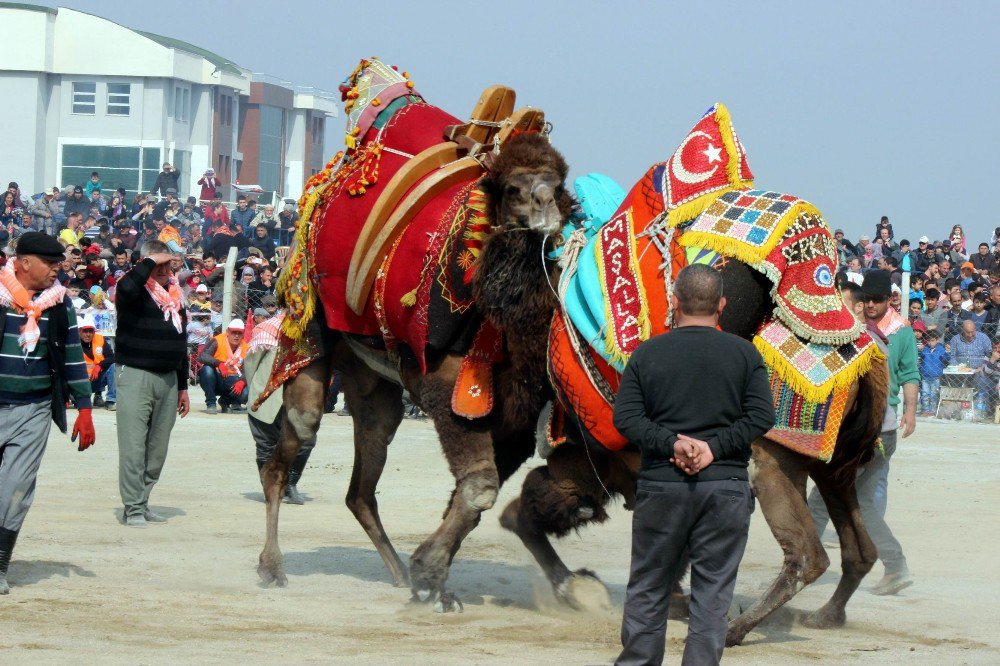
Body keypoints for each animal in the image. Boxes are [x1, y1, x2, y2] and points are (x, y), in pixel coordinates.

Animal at [254, 132, 576, 608]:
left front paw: (432, 580)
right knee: (293, 440)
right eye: (513, 189)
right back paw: (272, 568)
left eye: (557, 185)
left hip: (373, 384)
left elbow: (472, 494)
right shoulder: (445, 391)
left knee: (361, 485)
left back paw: (400, 576)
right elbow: (480, 488)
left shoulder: (516, 418)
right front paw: (432, 576)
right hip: (307, 330)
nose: (546, 209)